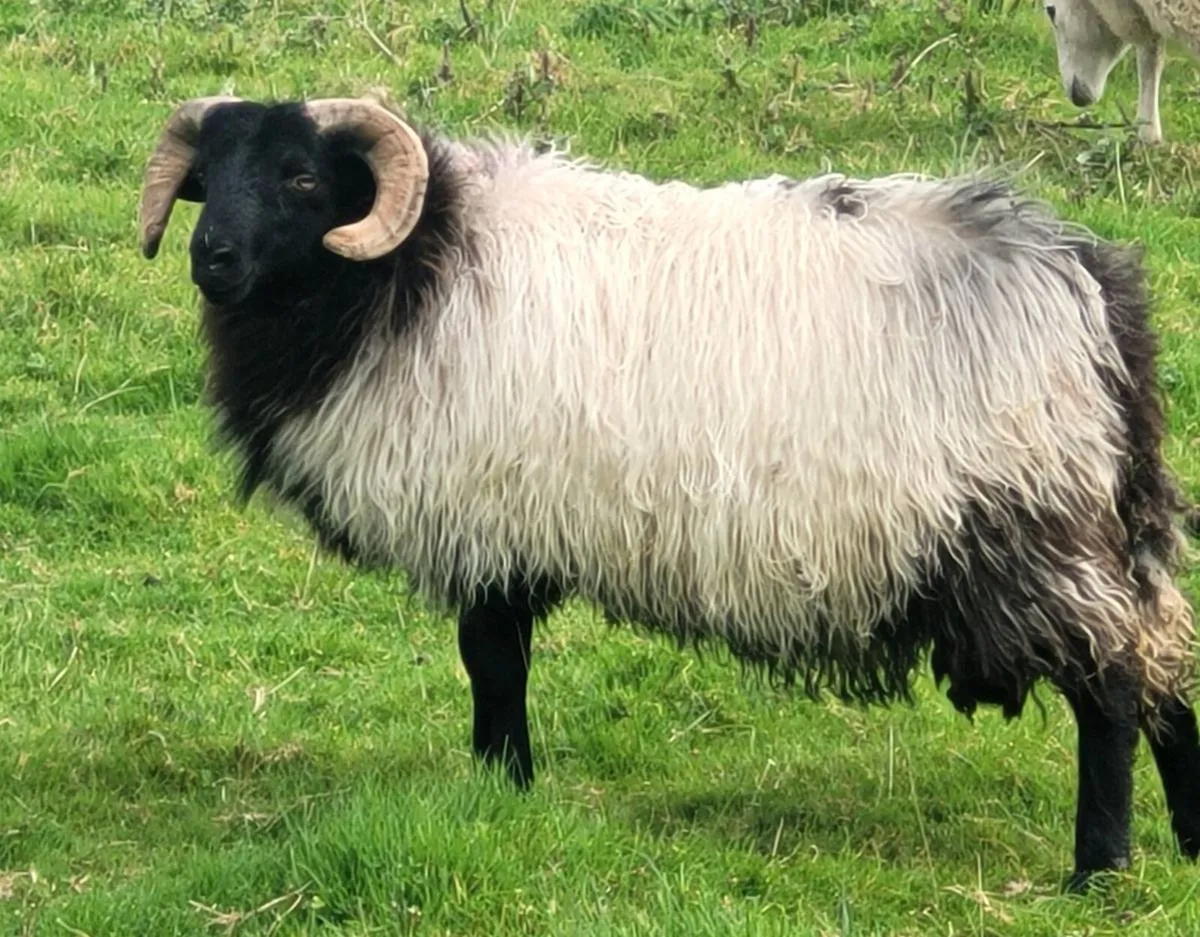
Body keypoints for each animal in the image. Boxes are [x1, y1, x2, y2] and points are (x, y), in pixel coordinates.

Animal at [136, 94, 1200, 891]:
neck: (409, 269)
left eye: (302, 178)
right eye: (206, 180)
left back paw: (1098, 871)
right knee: (1168, 670)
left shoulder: (490, 519)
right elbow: (498, 665)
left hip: (1029, 527)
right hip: (1105, 524)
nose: (209, 257)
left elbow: (493, 664)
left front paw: (502, 785)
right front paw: (502, 786)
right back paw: (1189, 844)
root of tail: (1089, 288)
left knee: (1112, 688)